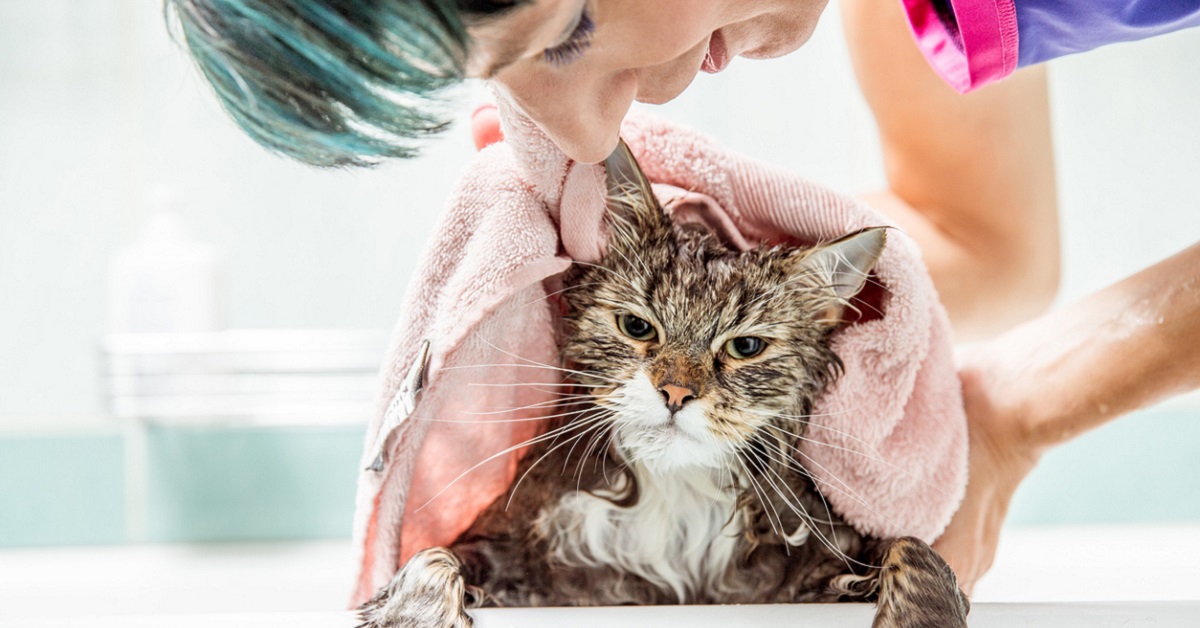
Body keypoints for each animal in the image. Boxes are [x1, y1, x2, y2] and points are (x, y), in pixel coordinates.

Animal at [350, 100, 969, 607]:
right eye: (637, 327)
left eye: (744, 346)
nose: (674, 393)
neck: (674, 504)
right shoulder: (501, 546)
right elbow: (433, 561)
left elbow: (913, 550)